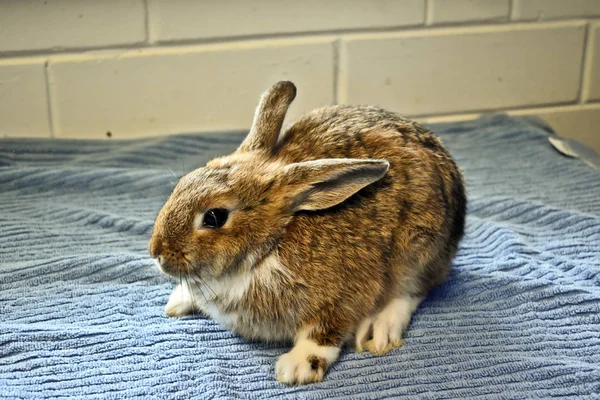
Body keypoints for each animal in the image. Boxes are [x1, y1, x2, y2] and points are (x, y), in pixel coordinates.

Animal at [148, 80, 466, 384]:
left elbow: (323, 333)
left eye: (214, 217)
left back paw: (380, 330)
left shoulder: (343, 298)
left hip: (419, 251)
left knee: (411, 291)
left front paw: (297, 367)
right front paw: (178, 301)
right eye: (184, 183)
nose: (156, 252)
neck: (268, 246)